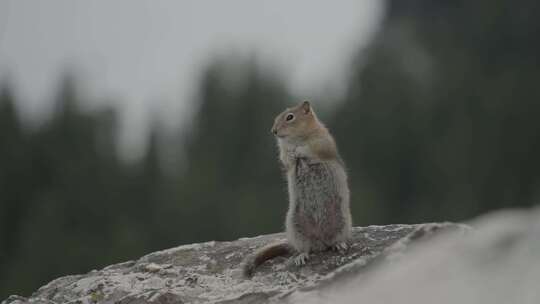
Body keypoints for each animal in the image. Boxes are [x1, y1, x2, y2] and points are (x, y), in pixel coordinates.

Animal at [243, 101, 352, 276]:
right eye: (276, 117)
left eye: (290, 117)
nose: (273, 131)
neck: (296, 138)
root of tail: (320, 241)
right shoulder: (283, 153)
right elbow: (286, 158)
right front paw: (291, 154)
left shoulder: (322, 140)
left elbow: (312, 148)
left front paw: (299, 150)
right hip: (295, 226)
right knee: (305, 249)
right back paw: (301, 257)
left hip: (342, 221)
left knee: (334, 240)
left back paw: (339, 245)